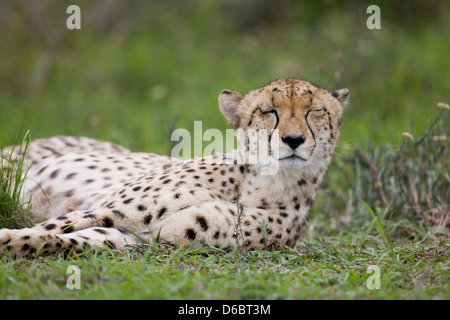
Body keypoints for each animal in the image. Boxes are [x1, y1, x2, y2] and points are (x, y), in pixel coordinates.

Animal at [0, 79, 348, 258]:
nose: (293, 140)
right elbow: (51, 228)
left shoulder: (141, 237)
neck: (262, 183)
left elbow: (59, 239)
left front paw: (14, 244)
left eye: (314, 111)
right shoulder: (113, 210)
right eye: (268, 111)